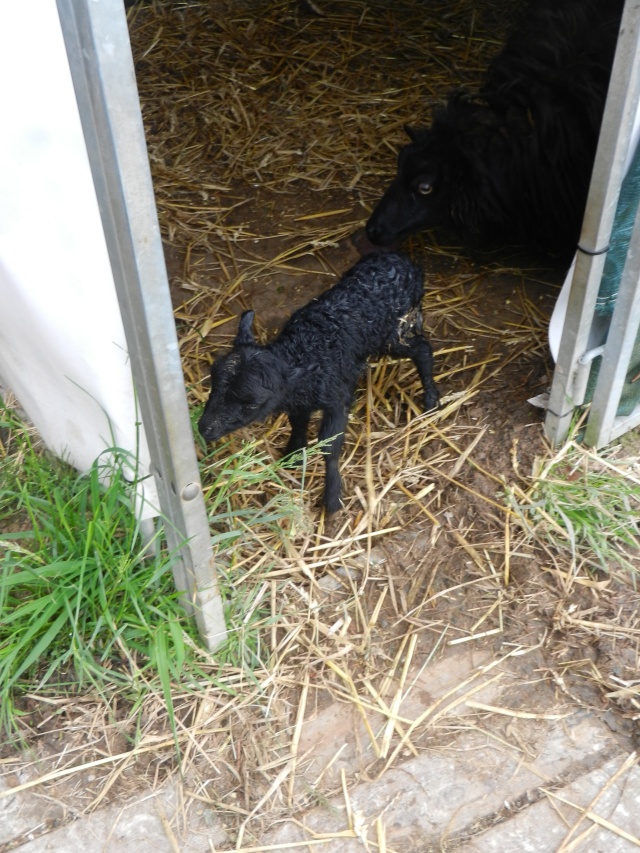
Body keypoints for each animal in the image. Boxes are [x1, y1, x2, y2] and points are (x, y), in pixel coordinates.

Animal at [200, 250, 440, 510]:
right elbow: (298, 425)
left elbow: (329, 446)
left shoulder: (337, 399)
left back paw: (431, 400)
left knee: (422, 349)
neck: (305, 349)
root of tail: (406, 262)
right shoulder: (298, 400)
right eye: (213, 381)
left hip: (394, 331)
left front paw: (332, 497)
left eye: (252, 404)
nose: (204, 428)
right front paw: (293, 456)